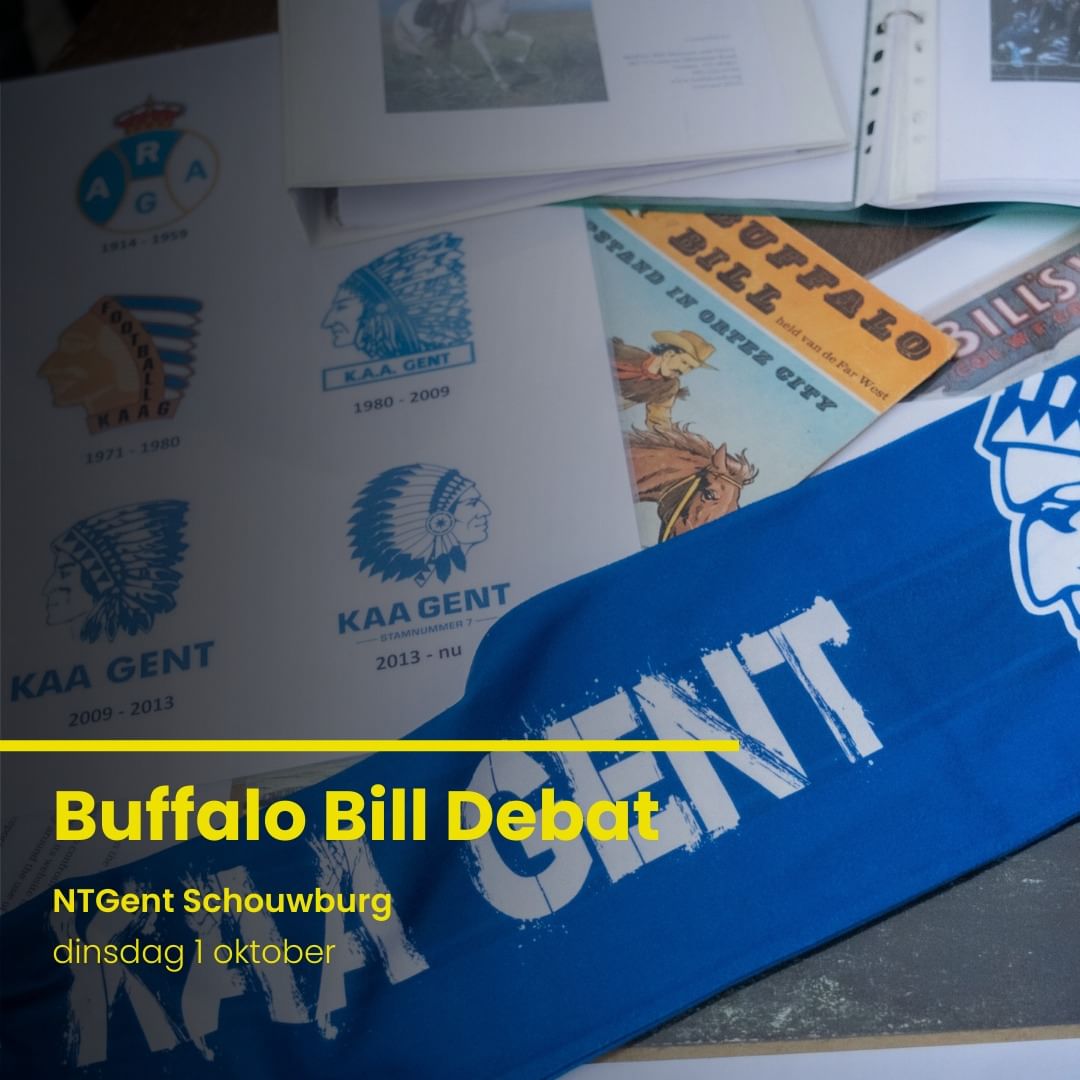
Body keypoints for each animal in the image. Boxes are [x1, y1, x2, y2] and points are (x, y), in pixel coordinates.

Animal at [393, 0, 534, 91]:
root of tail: (401, 10)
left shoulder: (501, 33)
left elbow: (530, 40)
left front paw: (520, 59)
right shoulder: (476, 36)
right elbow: (489, 59)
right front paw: (503, 84)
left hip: (446, 40)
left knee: (444, 57)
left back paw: (465, 77)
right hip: (419, 38)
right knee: (416, 54)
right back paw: (432, 76)